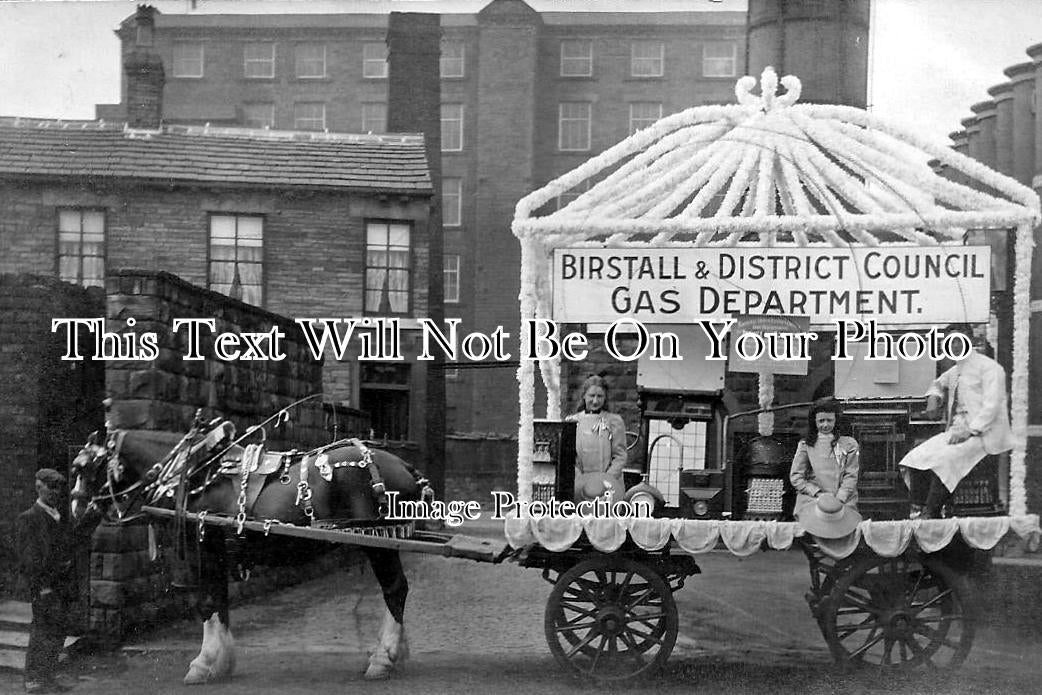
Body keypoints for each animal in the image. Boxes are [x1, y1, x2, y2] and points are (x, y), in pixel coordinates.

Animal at [70, 408, 427, 683]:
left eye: (81, 467)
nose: (75, 510)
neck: (195, 472)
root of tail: (405, 466)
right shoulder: (216, 550)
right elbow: (220, 602)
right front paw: (222, 662)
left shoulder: (203, 549)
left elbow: (205, 602)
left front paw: (203, 663)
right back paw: (394, 651)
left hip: (378, 541)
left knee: (395, 589)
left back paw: (383, 657)